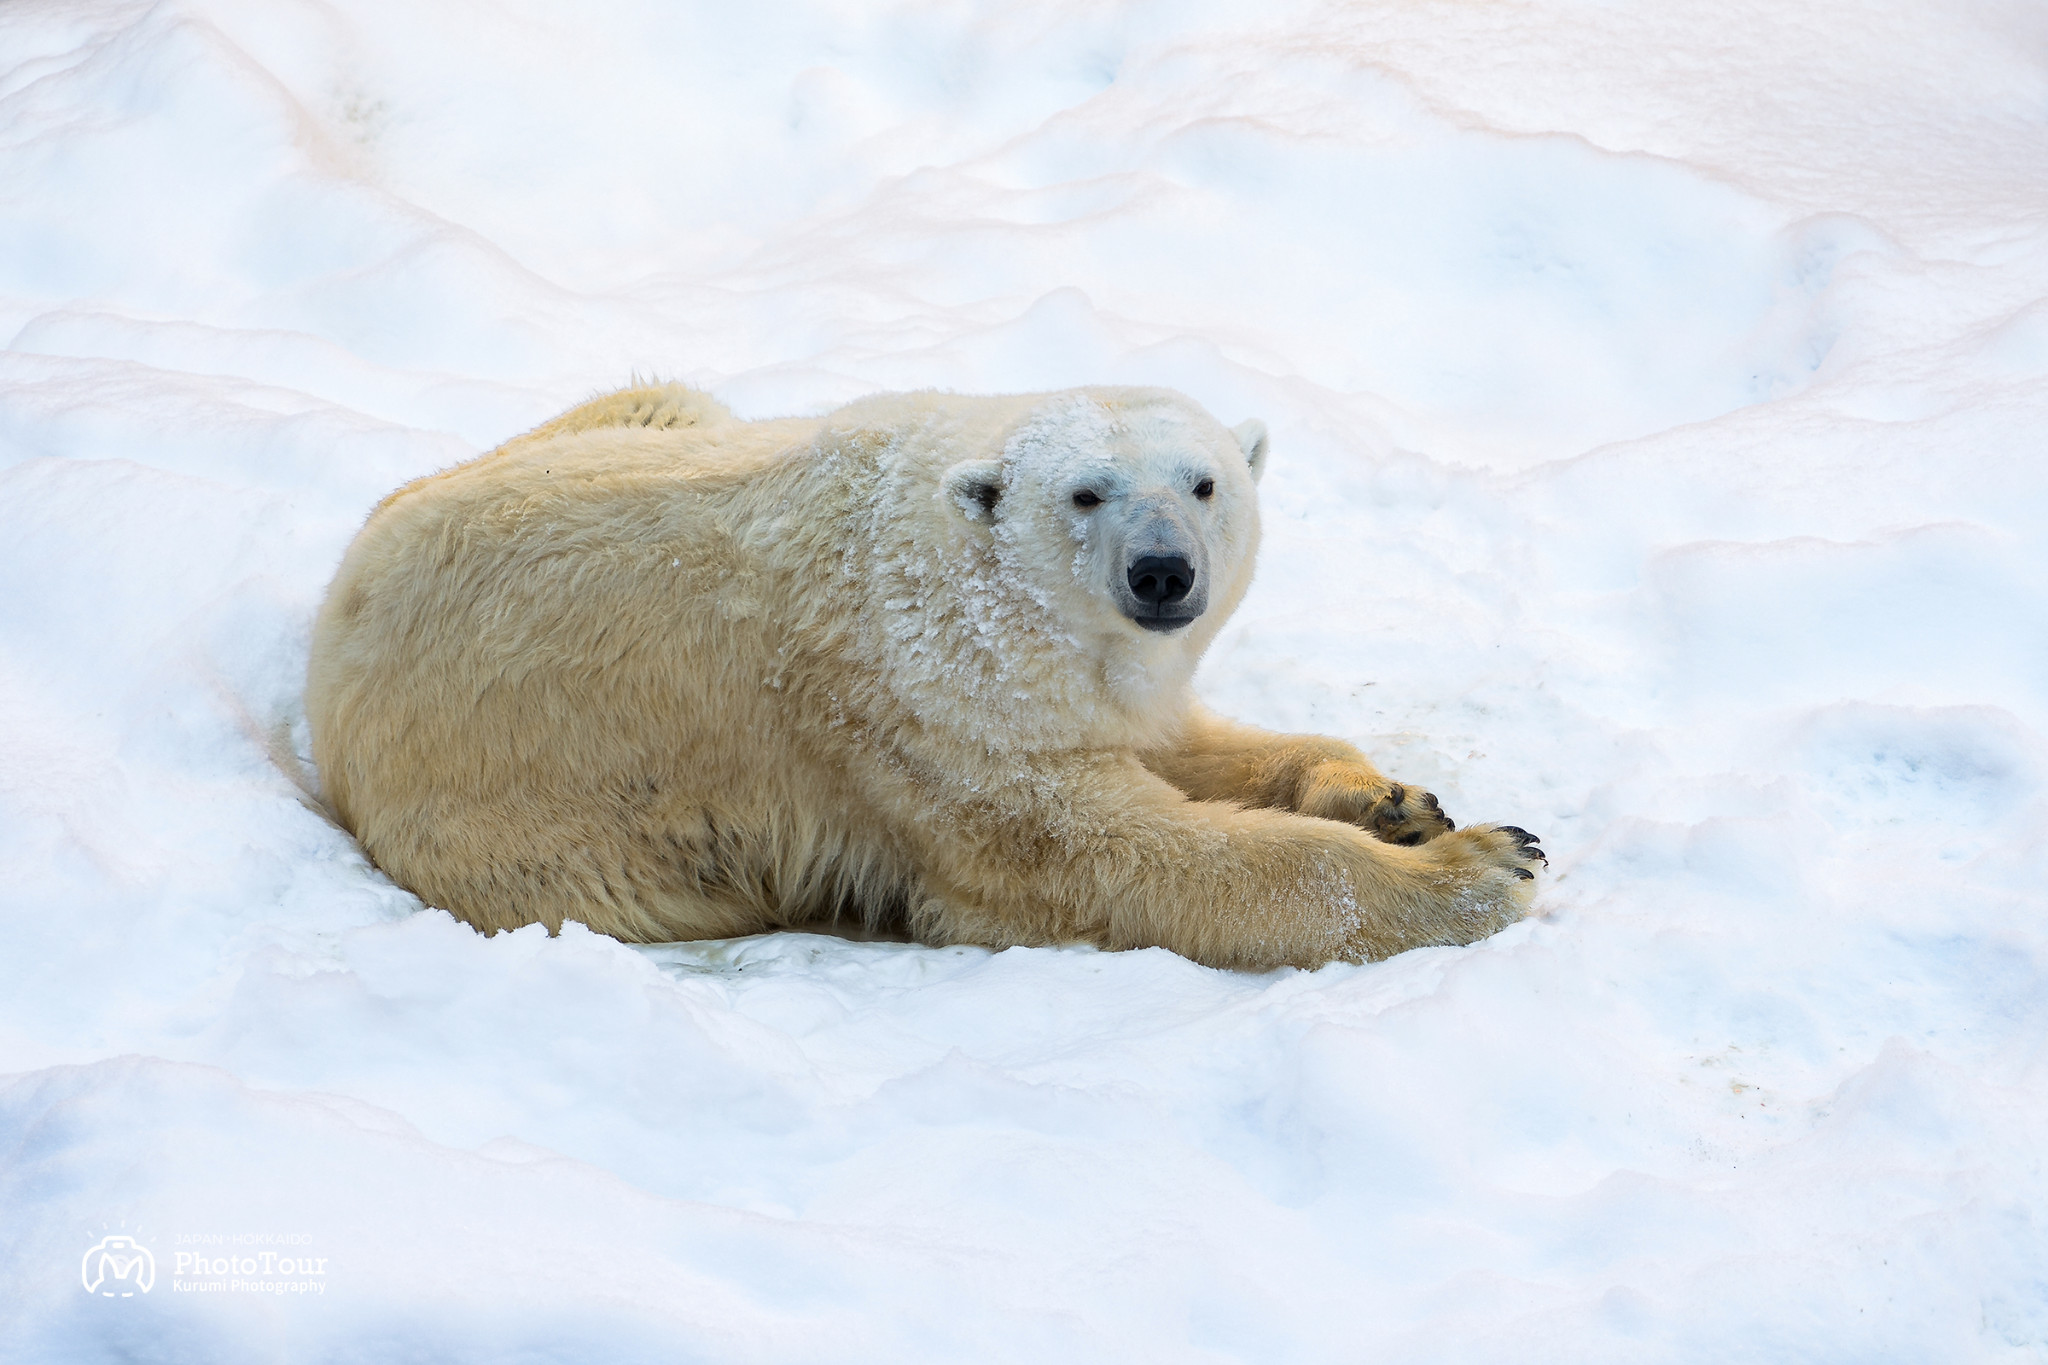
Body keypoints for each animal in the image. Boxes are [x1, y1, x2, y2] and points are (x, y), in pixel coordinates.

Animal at [307, 384, 1540, 970]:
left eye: (1202, 482)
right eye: (1086, 491)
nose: (1161, 573)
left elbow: (1174, 737)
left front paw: (1395, 799)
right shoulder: (921, 709)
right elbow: (1113, 855)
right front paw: (1488, 865)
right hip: (539, 838)